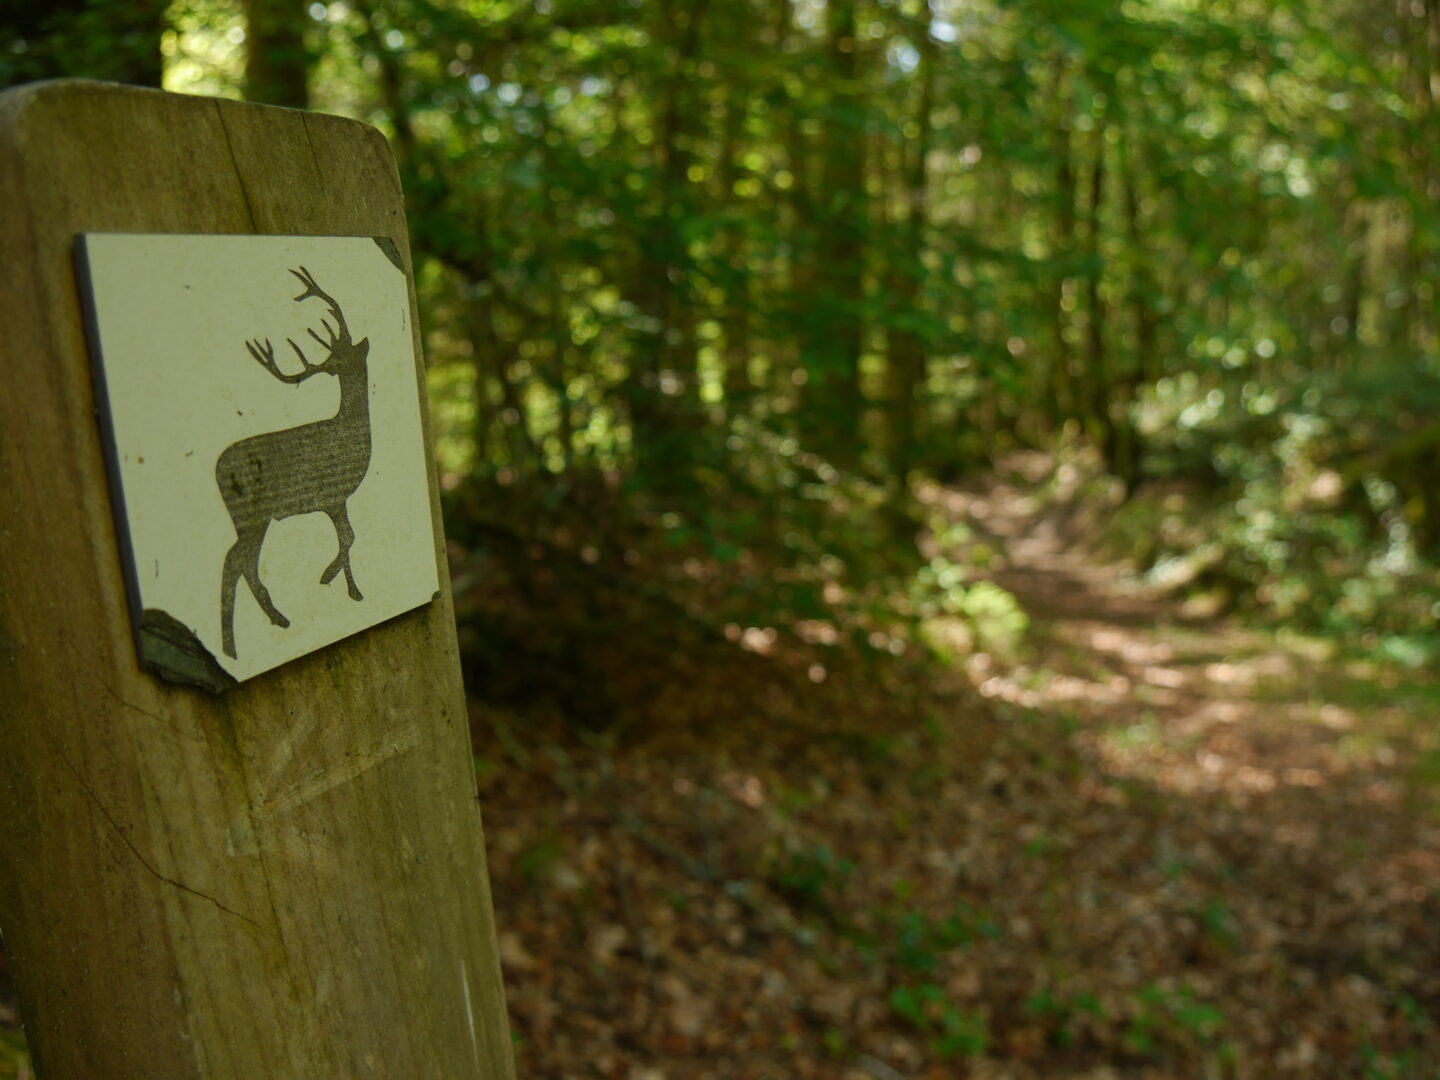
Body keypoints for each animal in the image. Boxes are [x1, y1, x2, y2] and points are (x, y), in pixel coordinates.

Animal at [216, 267, 372, 660]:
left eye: (350, 353)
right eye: (338, 362)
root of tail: (218, 469)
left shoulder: (336, 500)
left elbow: (348, 536)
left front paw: (352, 591)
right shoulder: (333, 496)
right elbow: (349, 536)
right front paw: (330, 578)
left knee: (240, 561)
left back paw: (249, 636)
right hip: (254, 513)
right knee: (236, 560)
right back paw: (256, 632)